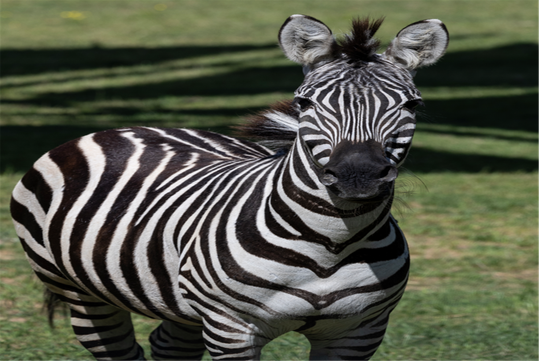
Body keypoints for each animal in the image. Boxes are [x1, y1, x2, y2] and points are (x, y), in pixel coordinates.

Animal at [11, 14, 452, 360]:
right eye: (304, 103)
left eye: (412, 105)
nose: (357, 174)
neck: (332, 245)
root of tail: (123, 127)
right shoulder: (232, 329)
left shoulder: (358, 333)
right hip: (79, 291)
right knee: (116, 348)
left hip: (181, 303)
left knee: (169, 345)